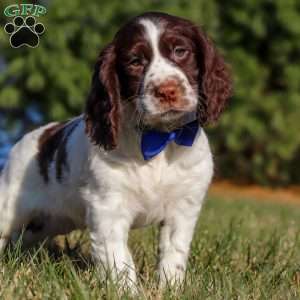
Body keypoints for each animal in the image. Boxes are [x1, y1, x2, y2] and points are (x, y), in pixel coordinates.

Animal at [0, 12, 232, 288]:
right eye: (134, 61)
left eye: (180, 51)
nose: (167, 90)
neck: (158, 139)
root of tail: (27, 140)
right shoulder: (108, 206)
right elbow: (118, 259)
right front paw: (127, 290)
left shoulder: (183, 206)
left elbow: (173, 253)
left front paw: (170, 288)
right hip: (8, 207)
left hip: (48, 221)